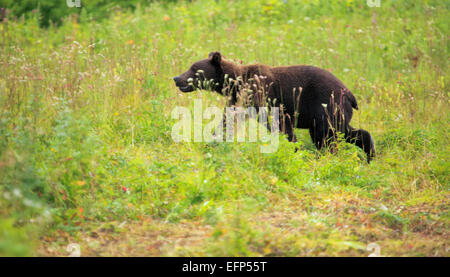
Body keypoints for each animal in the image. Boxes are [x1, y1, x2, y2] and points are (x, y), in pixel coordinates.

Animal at [174, 51, 374, 162]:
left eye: (194, 68)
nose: (177, 78)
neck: (236, 82)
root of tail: (349, 93)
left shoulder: (265, 94)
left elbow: (282, 125)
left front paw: (292, 148)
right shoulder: (238, 99)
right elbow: (227, 120)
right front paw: (211, 142)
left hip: (326, 105)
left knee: (329, 134)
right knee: (339, 133)